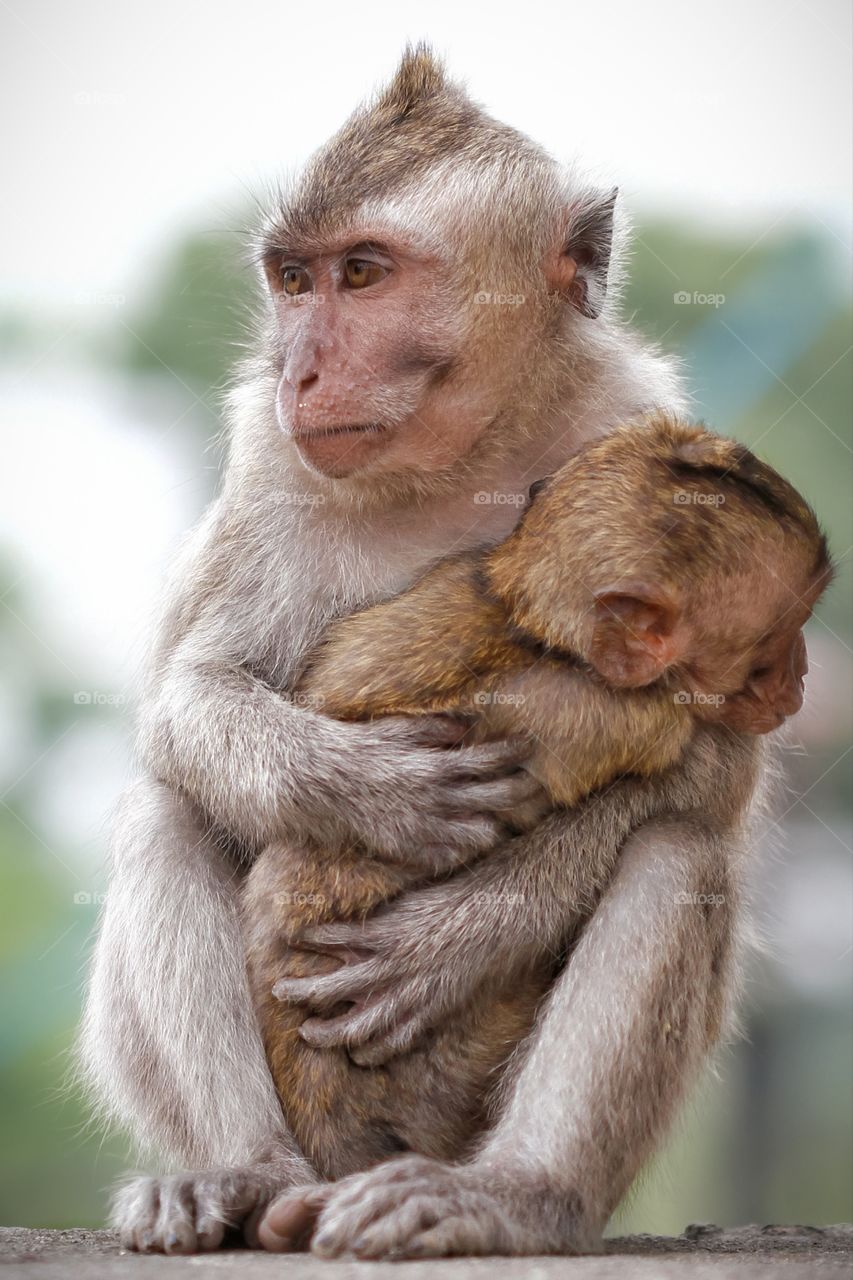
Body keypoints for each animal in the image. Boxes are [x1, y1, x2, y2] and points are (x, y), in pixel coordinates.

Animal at [81, 45, 763, 1254]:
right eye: (293, 280)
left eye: (362, 273)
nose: (299, 370)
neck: (462, 461)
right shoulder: (271, 461)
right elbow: (190, 696)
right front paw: (375, 794)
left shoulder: (651, 435)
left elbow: (718, 761)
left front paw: (461, 935)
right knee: (167, 802)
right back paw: (240, 1177)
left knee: (681, 850)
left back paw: (511, 1195)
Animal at [242, 409, 824, 1177]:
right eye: (770, 652)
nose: (801, 677)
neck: (533, 622)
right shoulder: (625, 714)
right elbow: (685, 771)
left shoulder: (453, 581)